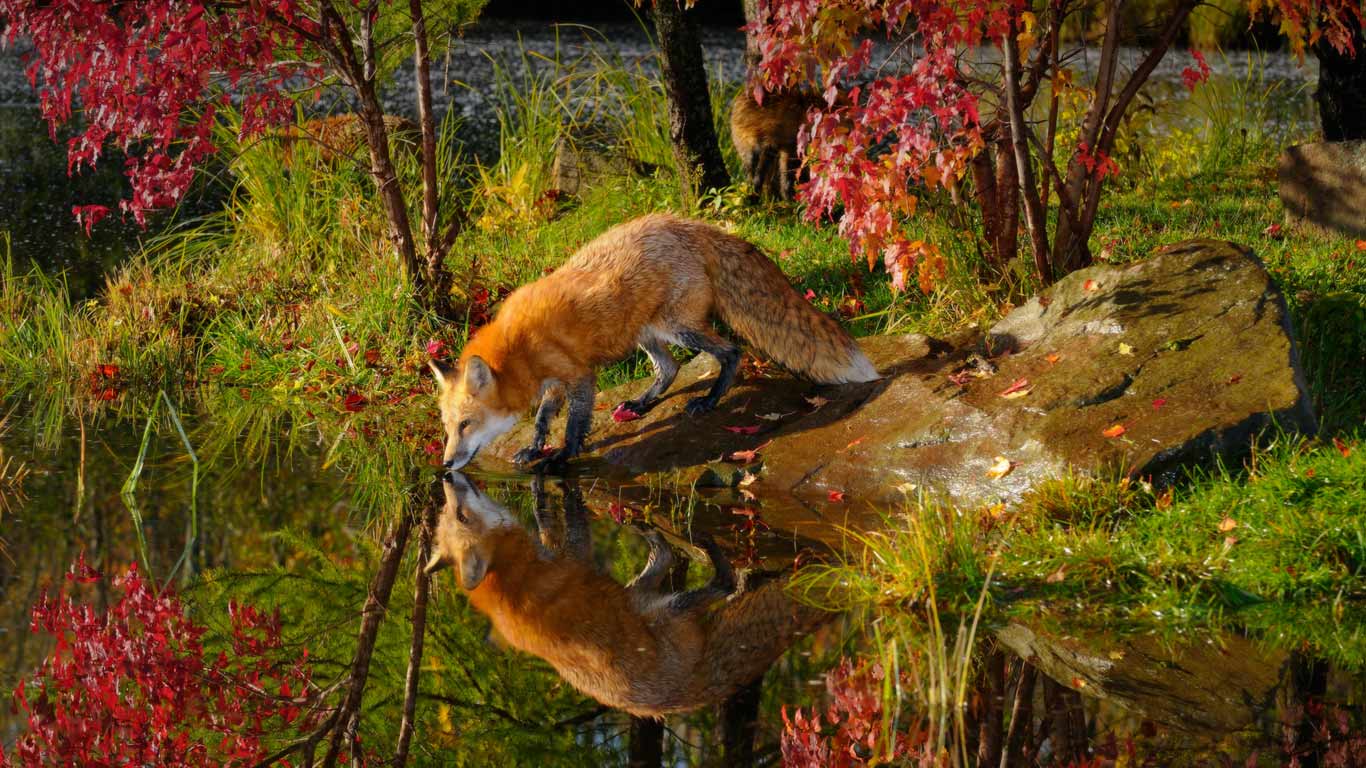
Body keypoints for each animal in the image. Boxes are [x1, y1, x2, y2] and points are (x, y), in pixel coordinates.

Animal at [424, 471, 833, 718]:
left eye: (453, 514)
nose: (446, 473)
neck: (509, 577)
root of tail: (690, 693)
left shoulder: (560, 552)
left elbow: (545, 517)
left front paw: (544, 479)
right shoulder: (576, 554)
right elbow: (565, 515)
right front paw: (558, 486)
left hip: (638, 597)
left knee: (663, 555)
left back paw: (647, 527)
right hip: (664, 610)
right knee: (723, 583)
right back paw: (705, 549)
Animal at [429, 213, 878, 470]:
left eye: (467, 424)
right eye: (448, 427)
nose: (447, 465)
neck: (520, 344)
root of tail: (690, 224)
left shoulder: (580, 377)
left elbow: (573, 424)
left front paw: (562, 456)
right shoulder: (555, 382)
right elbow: (542, 418)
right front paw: (534, 448)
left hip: (676, 326)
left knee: (731, 351)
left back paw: (709, 400)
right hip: (646, 332)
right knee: (671, 367)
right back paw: (642, 404)